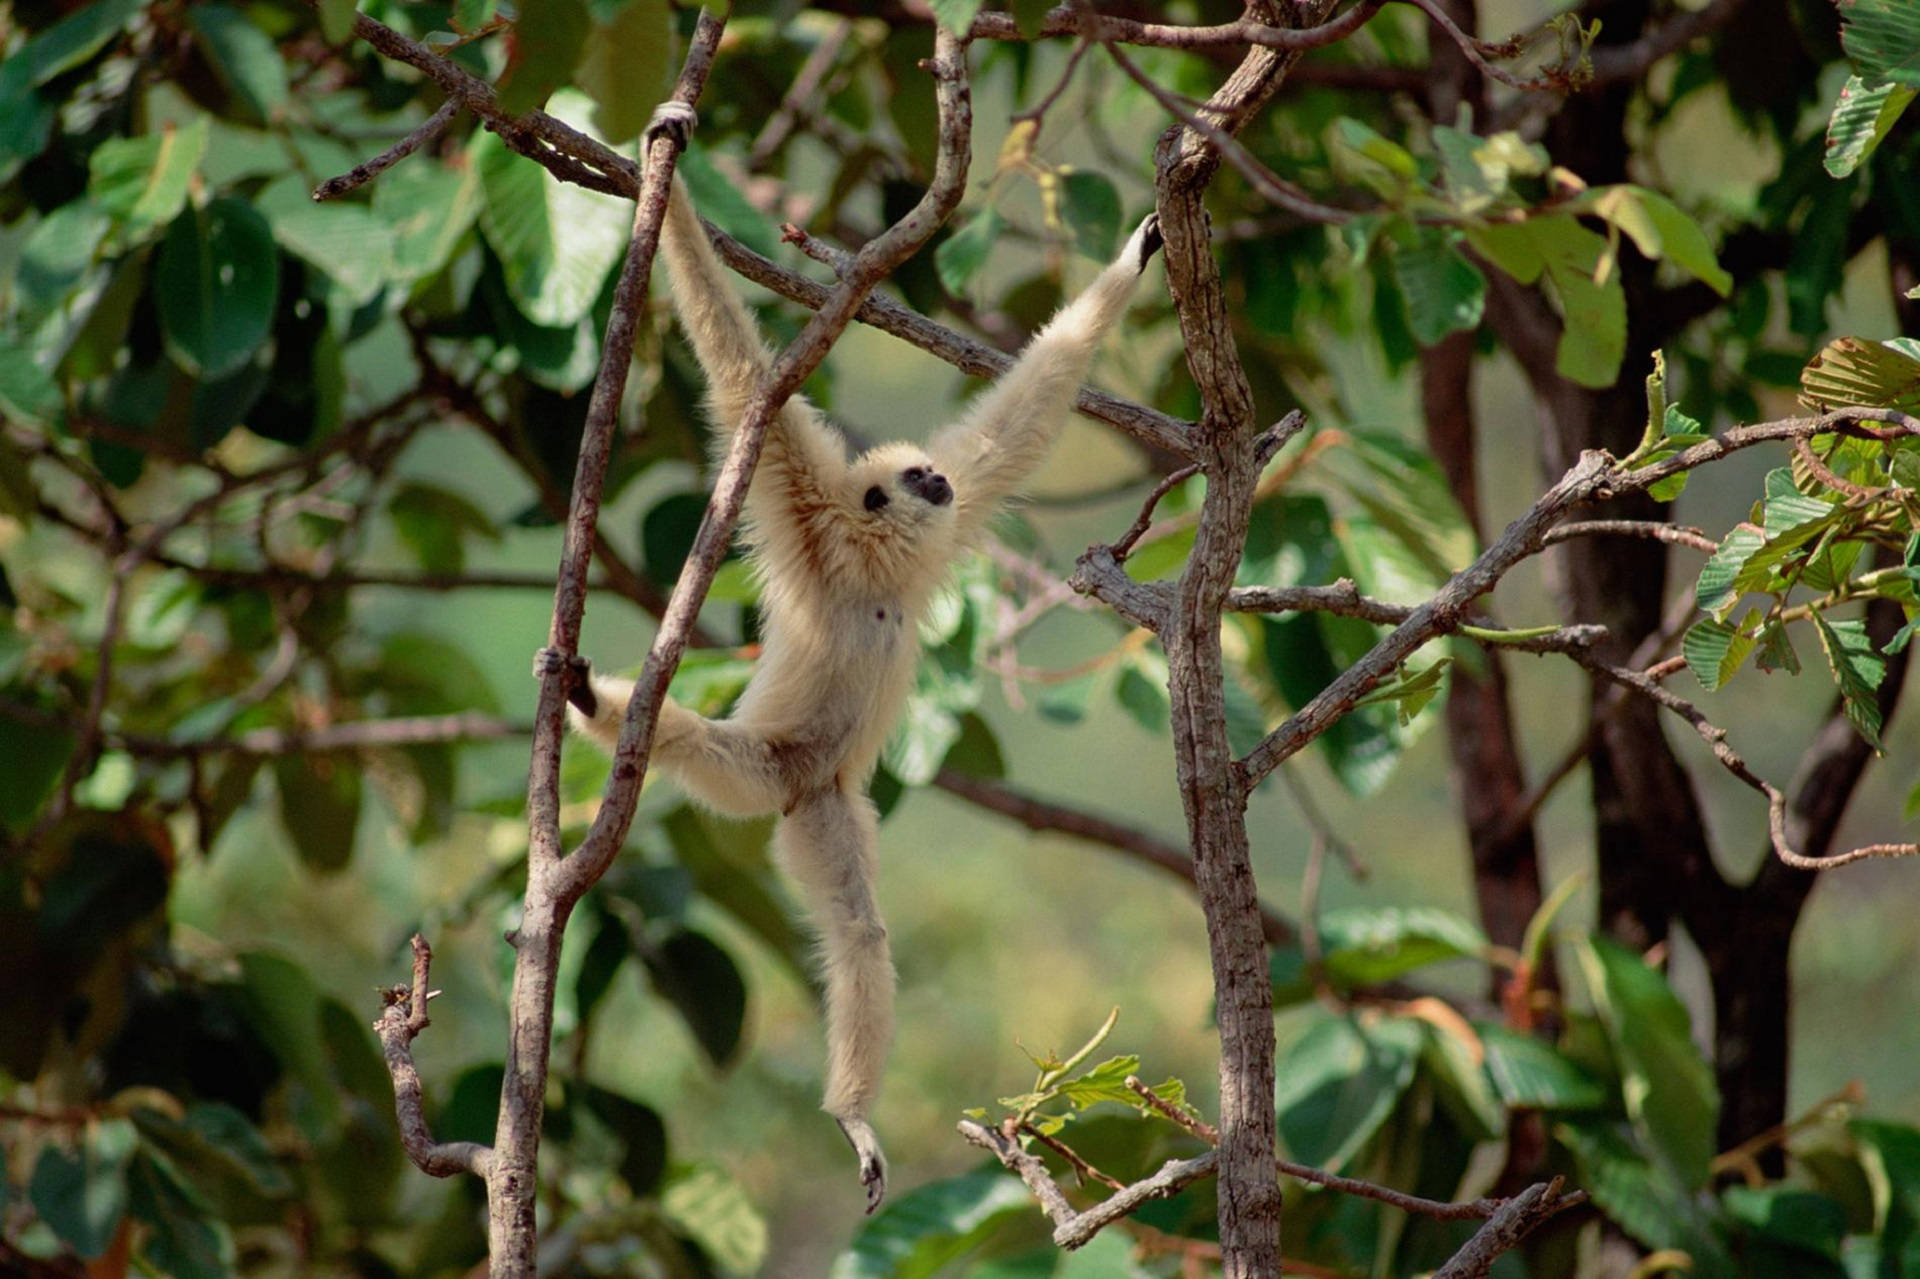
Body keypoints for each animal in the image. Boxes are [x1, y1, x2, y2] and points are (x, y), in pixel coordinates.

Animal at [540, 102, 1161, 1213]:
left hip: (828, 806)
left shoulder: (946, 521)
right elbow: (745, 377)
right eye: (909, 478)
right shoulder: (803, 500)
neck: (875, 568)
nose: (931, 481)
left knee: (861, 939)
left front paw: (1142, 249)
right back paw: (591, 704)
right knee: (698, 747)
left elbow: (1018, 424)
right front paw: (667, 168)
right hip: (770, 777)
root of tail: (808, 781)